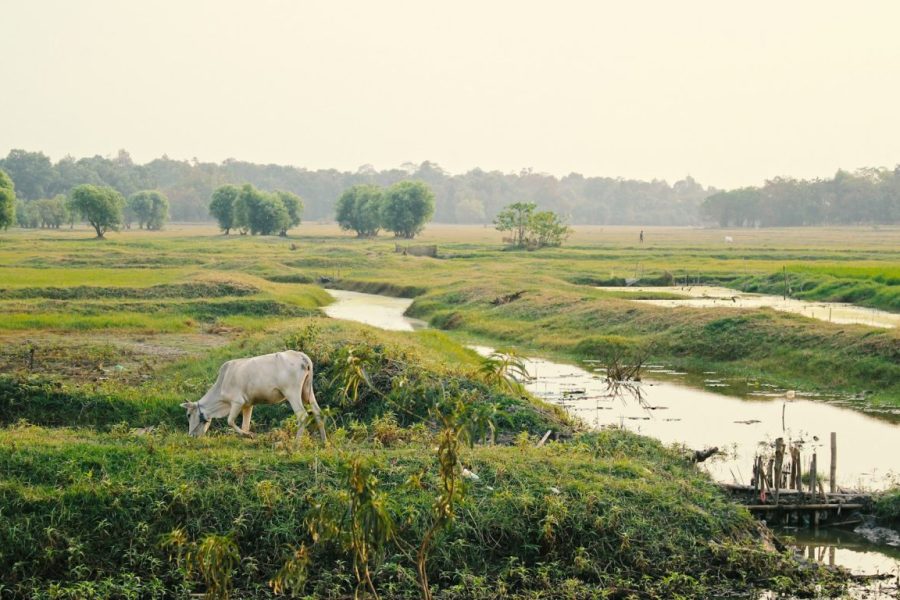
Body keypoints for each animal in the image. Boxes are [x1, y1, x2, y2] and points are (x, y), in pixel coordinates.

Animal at [181, 350, 326, 441]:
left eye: (188, 415)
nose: (191, 435)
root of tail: (302, 356)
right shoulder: (248, 405)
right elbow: (245, 424)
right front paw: (245, 436)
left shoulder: (237, 402)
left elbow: (230, 421)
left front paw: (249, 435)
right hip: (307, 392)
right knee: (317, 412)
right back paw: (324, 443)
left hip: (292, 393)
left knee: (303, 416)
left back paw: (296, 445)